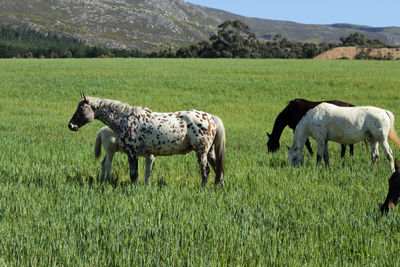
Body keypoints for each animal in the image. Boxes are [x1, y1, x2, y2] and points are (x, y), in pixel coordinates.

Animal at [69, 95, 225, 187]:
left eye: (81, 109)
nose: (71, 125)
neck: (126, 119)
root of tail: (211, 117)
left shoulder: (132, 153)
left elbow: (134, 174)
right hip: (210, 152)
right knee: (218, 169)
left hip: (201, 152)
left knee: (205, 171)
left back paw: (203, 188)